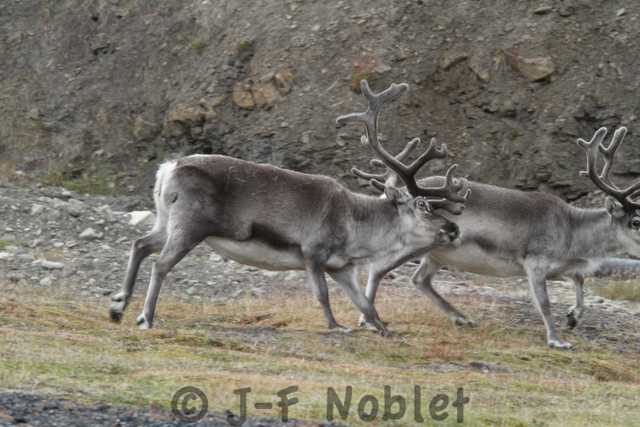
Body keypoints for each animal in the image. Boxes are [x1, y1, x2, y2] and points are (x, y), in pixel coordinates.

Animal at [108, 81, 469, 335]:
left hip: (165, 220)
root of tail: (168, 168)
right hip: (190, 225)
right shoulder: (313, 252)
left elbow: (366, 304)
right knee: (160, 263)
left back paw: (118, 306)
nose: (454, 228)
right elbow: (322, 294)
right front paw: (335, 325)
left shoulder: (342, 267)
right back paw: (145, 317)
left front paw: (382, 329)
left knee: (140, 244)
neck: (359, 229)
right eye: (424, 206)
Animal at [349, 115, 640, 349]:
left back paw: (462, 318)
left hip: (437, 254)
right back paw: (367, 319)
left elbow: (580, 281)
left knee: (419, 279)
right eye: (635, 221)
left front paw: (573, 317)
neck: (571, 230)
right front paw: (556, 340)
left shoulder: (565, 267)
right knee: (378, 268)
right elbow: (545, 303)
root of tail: (390, 194)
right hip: (415, 243)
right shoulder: (534, 262)